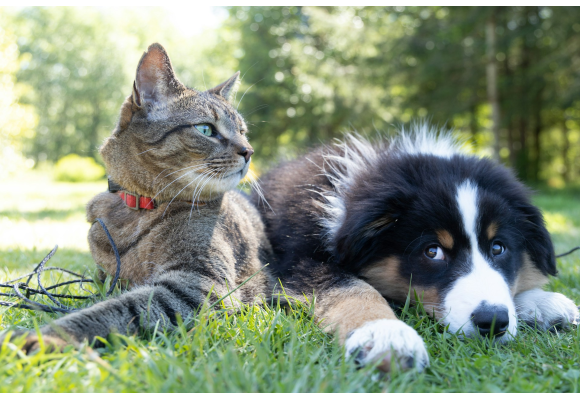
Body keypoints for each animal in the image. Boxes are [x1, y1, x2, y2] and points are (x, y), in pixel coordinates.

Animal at [4, 42, 274, 352]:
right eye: (206, 129)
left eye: (243, 131)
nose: (249, 151)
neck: (138, 209)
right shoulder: (108, 277)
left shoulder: (198, 283)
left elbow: (115, 309)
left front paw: (48, 336)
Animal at [254, 124, 580, 372]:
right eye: (432, 251)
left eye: (498, 248)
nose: (492, 322)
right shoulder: (299, 260)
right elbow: (352, 288)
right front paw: (386, 334)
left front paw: (541, 302)